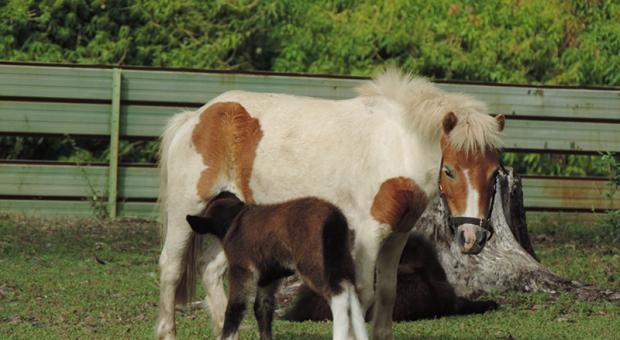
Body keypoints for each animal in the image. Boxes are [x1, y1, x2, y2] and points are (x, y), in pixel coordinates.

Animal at [154, 69, 504, 340]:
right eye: (450, 171)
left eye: (495, 173)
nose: (472, 238)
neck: (398, 146)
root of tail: (196, 117)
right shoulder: (368, 235)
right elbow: (362, 294)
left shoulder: (397, 237)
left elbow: (387, 294)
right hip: (187, 210)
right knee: (170, 267)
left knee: (210, 269)